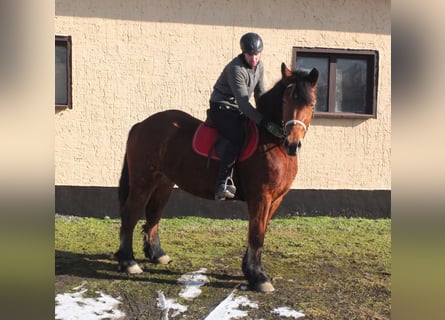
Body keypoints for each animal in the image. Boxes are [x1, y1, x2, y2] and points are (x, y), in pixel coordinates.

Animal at [114, 62, 316, 292]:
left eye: (311, 103)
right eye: (284, 101)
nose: (293, 144)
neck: (271, 140)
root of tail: (141, 125)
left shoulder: (276, 199)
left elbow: (260, 232)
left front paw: (249, 270)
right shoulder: (261, 197)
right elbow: (256, 234)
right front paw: (258, 277)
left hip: (163, 182)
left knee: (153, 214)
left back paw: (157, 254)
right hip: (143, 181)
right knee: (130, 214)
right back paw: (128, 262)